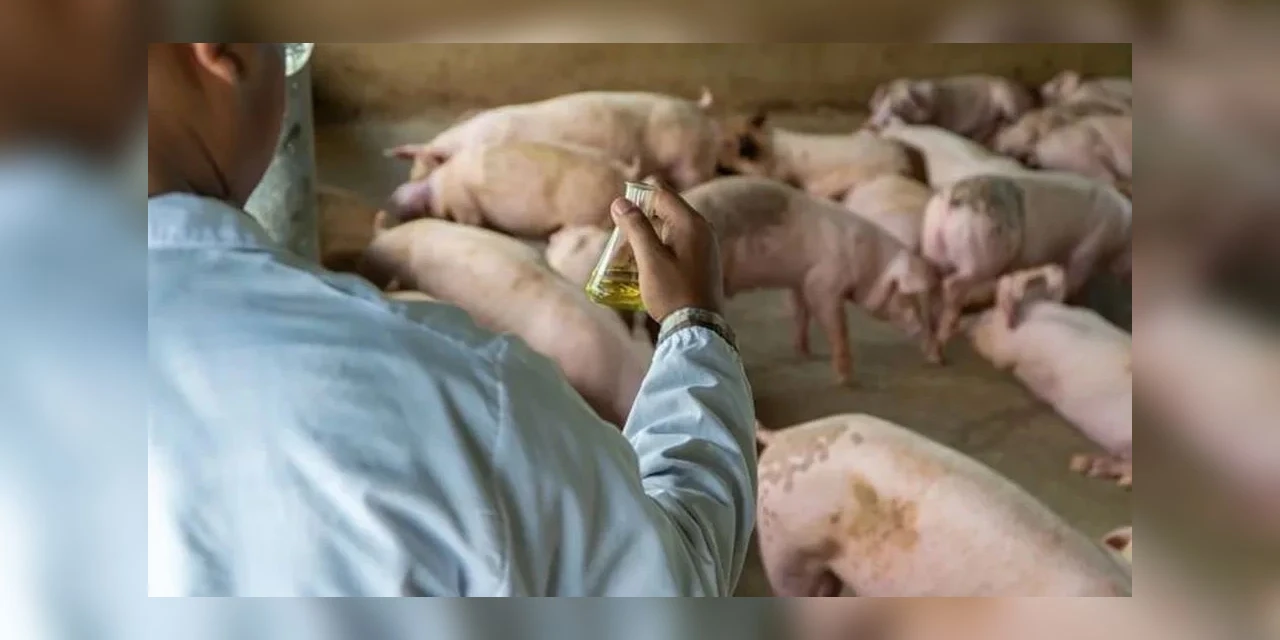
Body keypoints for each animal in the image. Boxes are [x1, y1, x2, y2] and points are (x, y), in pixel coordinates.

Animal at [683, 176, 941, 382]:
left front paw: (804, 352)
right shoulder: (822, 281)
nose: (938, 357)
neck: (867, 262)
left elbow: (801, 312)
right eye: (906, 297)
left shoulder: (800, 279)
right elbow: (837, 326)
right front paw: (845, 379)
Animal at [865, 75, 1036, 144]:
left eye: (904, 105)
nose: (877, 122)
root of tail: (1027, 94)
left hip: (1007, 97)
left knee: (1017, 119)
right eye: (885, 103)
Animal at [922, 171, 1132, 346]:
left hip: (934, 249)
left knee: (934, 281)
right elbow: (1071, 283)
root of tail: (951, 201)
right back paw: (945, 334)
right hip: (981, 255)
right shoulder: (1087, 251)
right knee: (953, 285)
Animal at [966, 266, 1132, 486]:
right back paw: (1087, 465)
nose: (969, 325)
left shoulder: (1012, 350)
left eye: (987, 318)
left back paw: (1093, 467)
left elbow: (1000, 357)